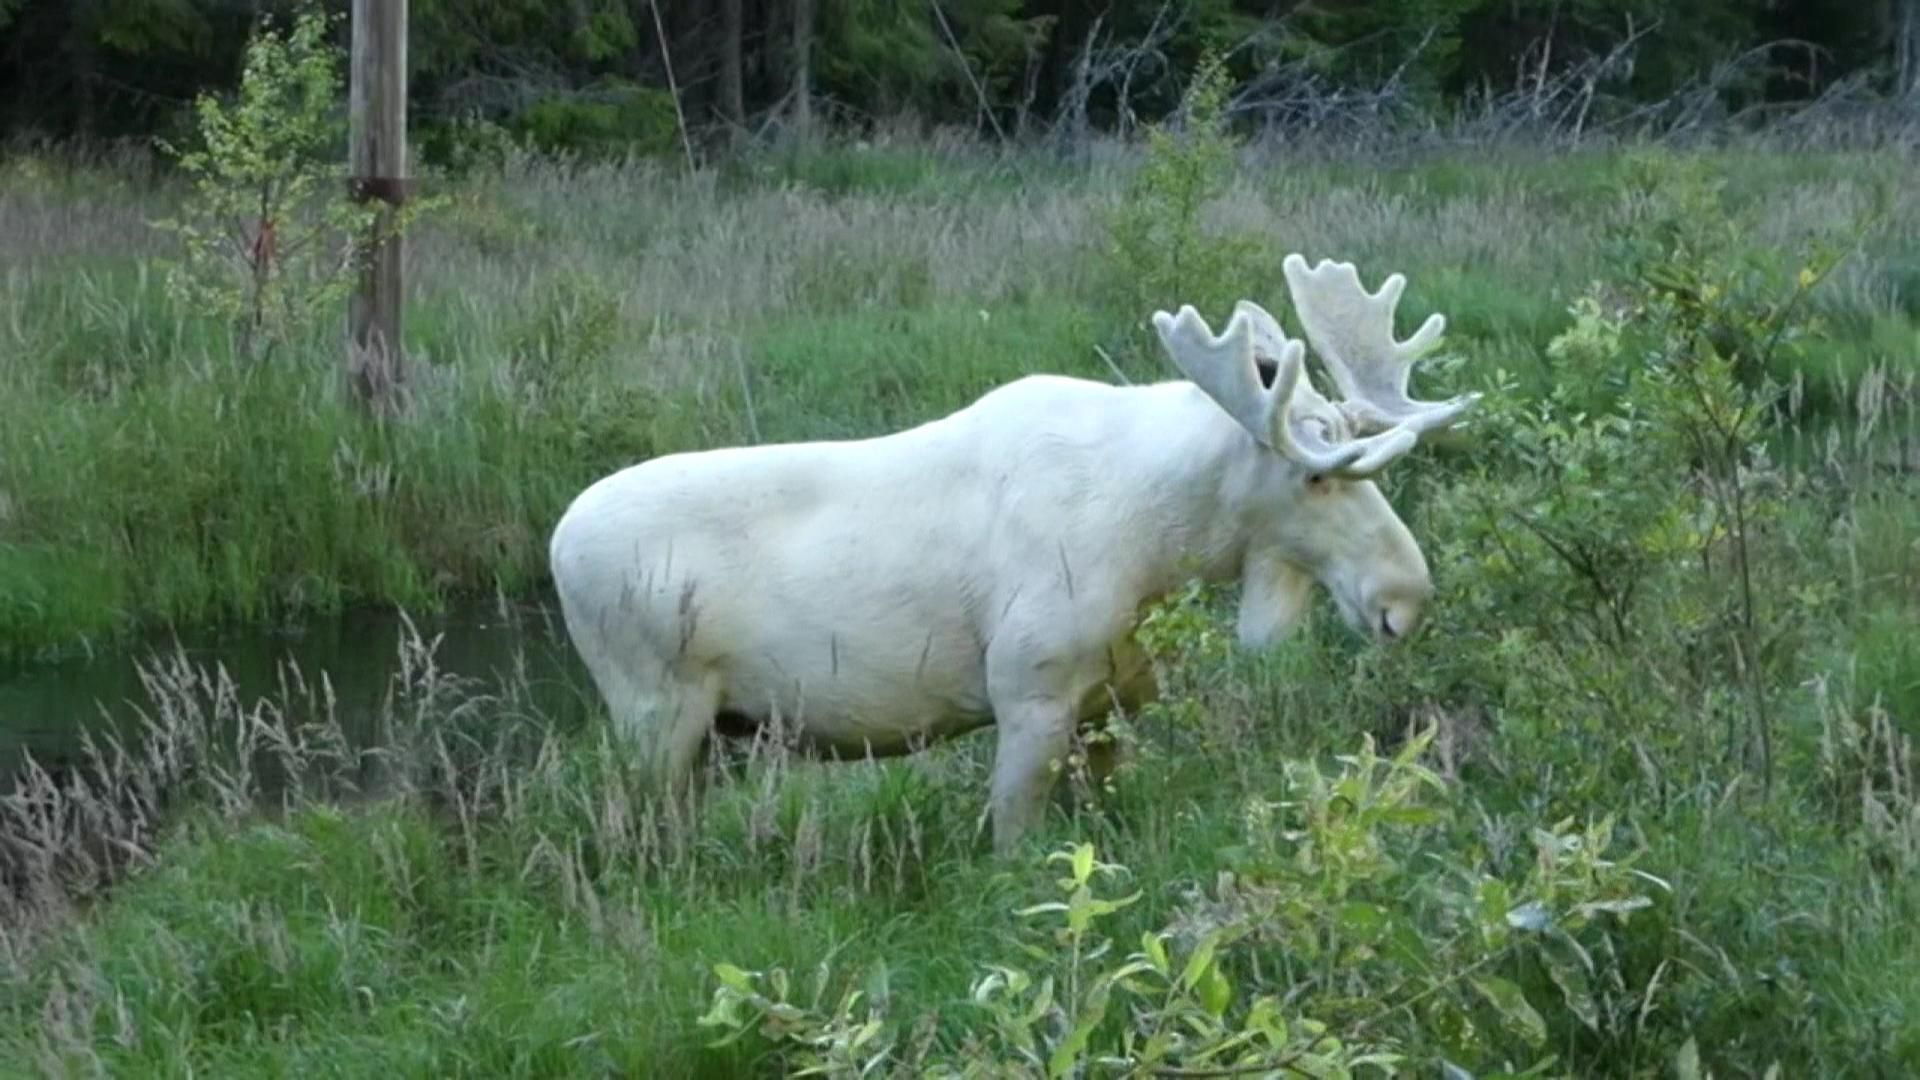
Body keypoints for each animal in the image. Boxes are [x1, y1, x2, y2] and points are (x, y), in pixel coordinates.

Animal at [547, 254, 1482, 853]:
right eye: (1318, 476)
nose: (1405, 594)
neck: (1160, 543)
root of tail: (556, 545)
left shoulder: (1112, 701)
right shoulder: (1028, 689)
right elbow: (1012, 845)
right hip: (653, 713)